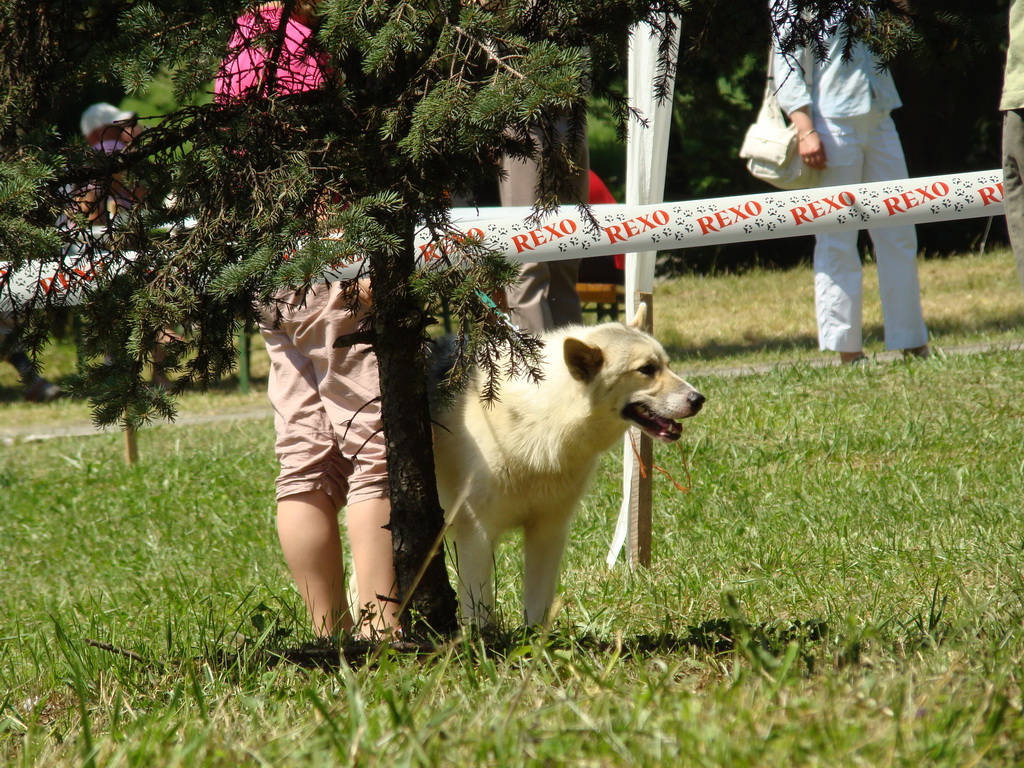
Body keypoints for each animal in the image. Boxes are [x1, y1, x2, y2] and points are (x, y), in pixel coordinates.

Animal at [432, 303, 704, 626]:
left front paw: (536, 640)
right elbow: (478, 612)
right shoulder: (477, 536)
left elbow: (538, 604)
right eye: (647, 369)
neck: (542, 418)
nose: (699, 399)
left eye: (667, 365)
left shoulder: (549, 532)